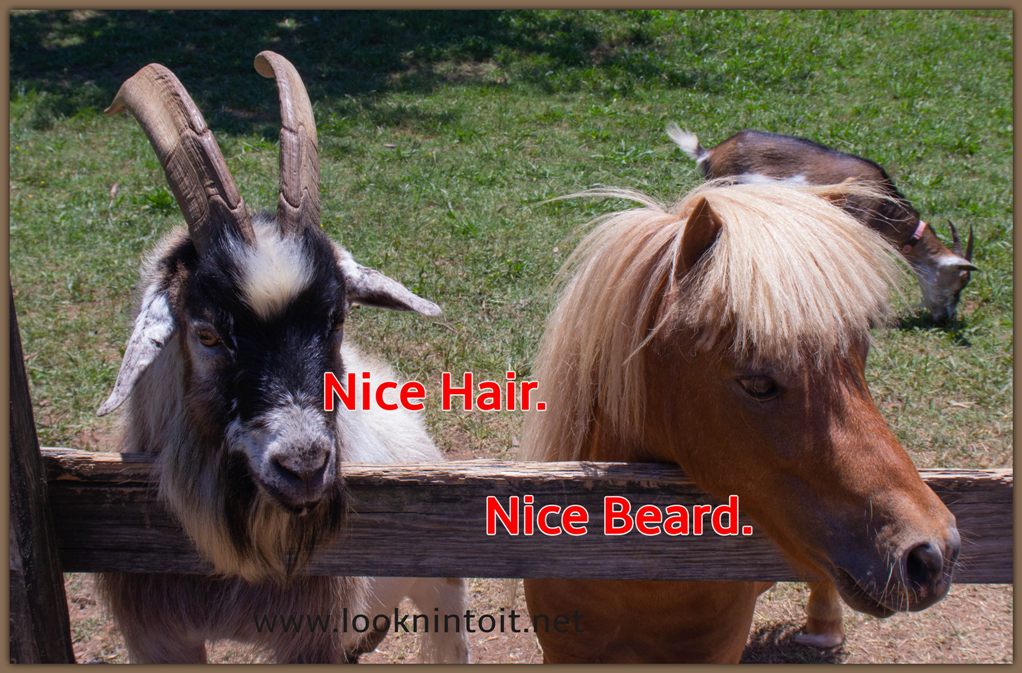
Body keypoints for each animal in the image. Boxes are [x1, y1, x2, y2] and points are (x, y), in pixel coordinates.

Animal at [94, 51, 469, 664]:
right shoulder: (155, 632)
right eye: (207, 333)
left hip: (440, 581)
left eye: (337, 318)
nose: (305, 467)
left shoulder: (311, 636)